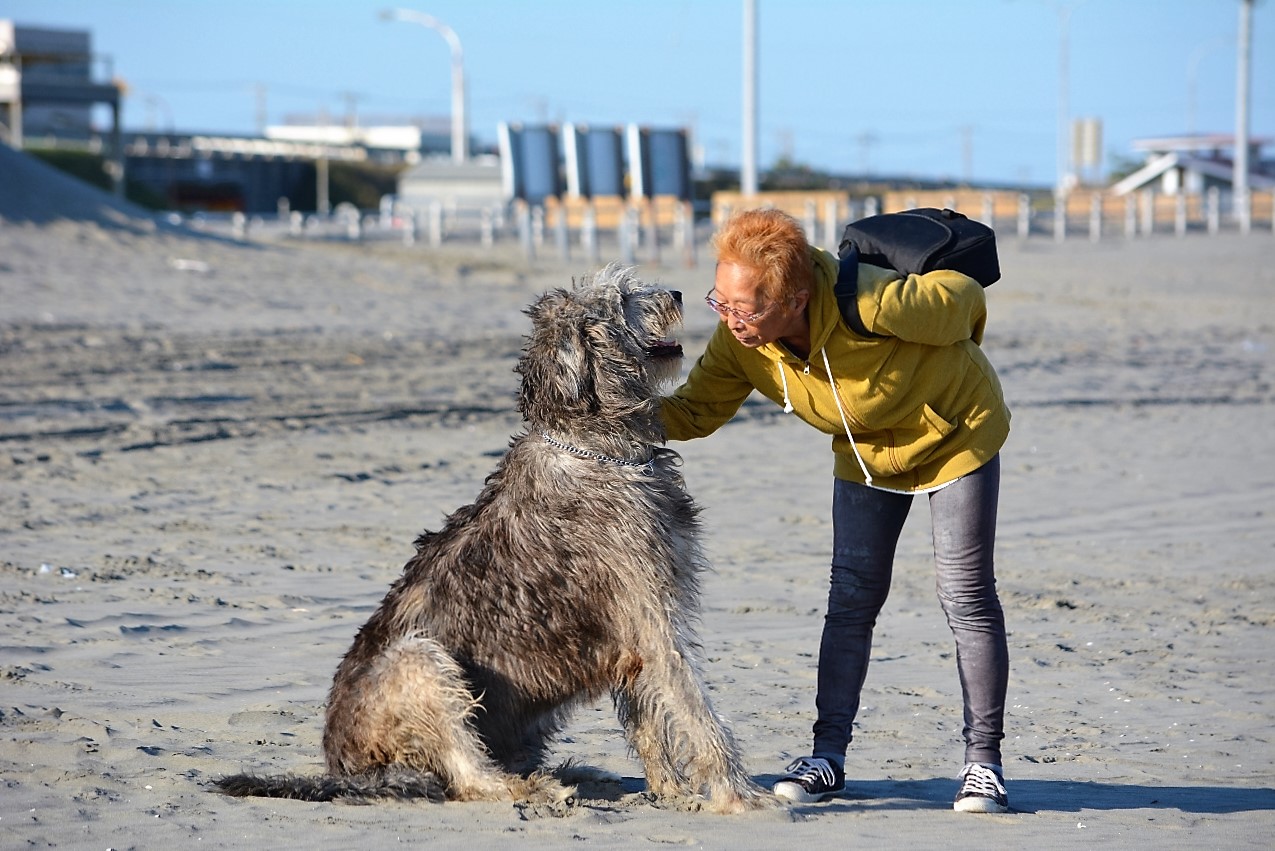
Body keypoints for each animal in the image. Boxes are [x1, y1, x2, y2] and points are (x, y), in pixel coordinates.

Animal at [216, 264, 765, 811]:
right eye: (620, 299)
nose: (676, 292)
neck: (596, 446)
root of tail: (344, 769)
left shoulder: (633, 627)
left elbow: (648, 717)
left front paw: (671, 791)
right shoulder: (648, 614)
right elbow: (694, 708)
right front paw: (740, 795)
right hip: (420, 663)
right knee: (468, 779)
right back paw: (536, 787)